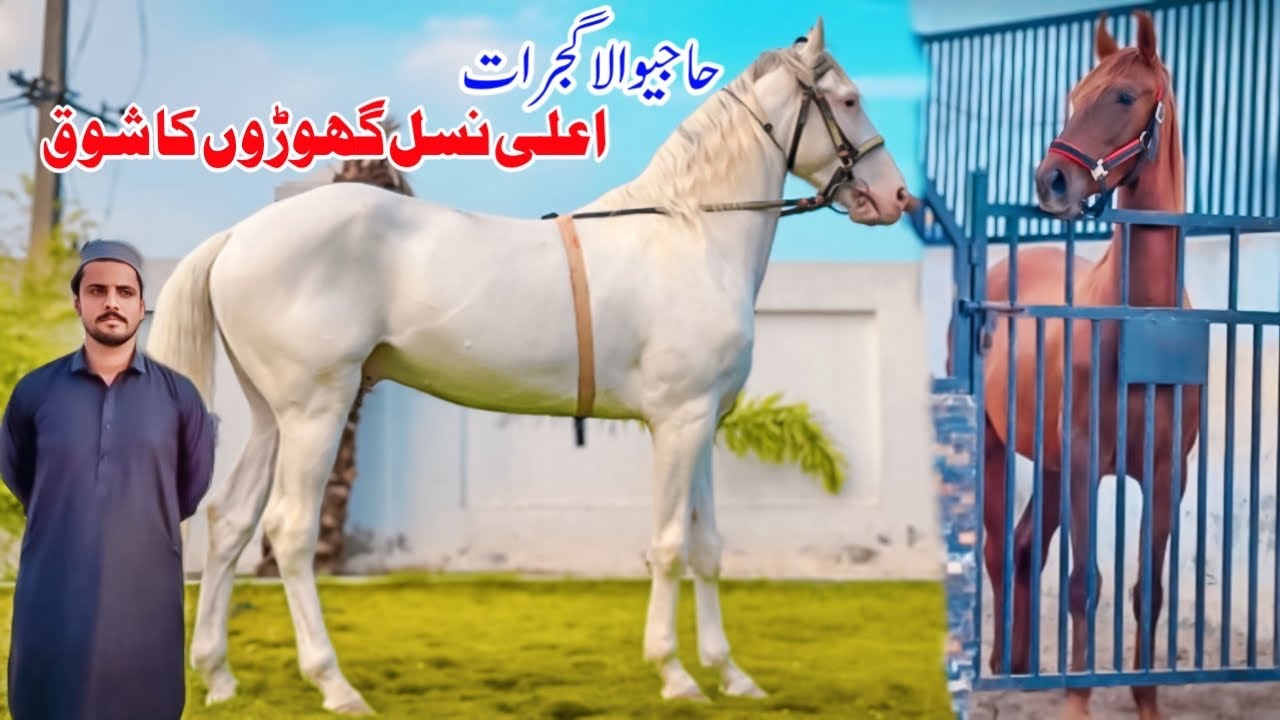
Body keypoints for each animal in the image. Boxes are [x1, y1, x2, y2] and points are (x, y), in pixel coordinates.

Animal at [147, 18, 914, 715]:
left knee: (230, 519)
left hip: (271, 415)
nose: (897, 197)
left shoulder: (701, 424)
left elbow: (707, 547)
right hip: (316, 409)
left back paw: (218, 677)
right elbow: (669, 544)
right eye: (849, 100)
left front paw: (732, 676)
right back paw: (335, 685)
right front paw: (675, 674)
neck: (693, 234)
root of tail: (240, 235)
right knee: (288, 529)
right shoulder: (677, 422)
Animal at [958, 11, 1198, 720]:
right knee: (996, 547)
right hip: (1000, 447)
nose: (1050, 182)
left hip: (1052, 464)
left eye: (1123, 96)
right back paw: (997, 676)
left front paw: (1146, 701)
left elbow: (1148, 590)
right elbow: (1083, 583)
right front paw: (1076, 699)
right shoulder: (1090, 464)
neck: (1142, 324)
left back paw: (1015, 664)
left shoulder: (1166, 475)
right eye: (1071, 97)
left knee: (1022, 545)